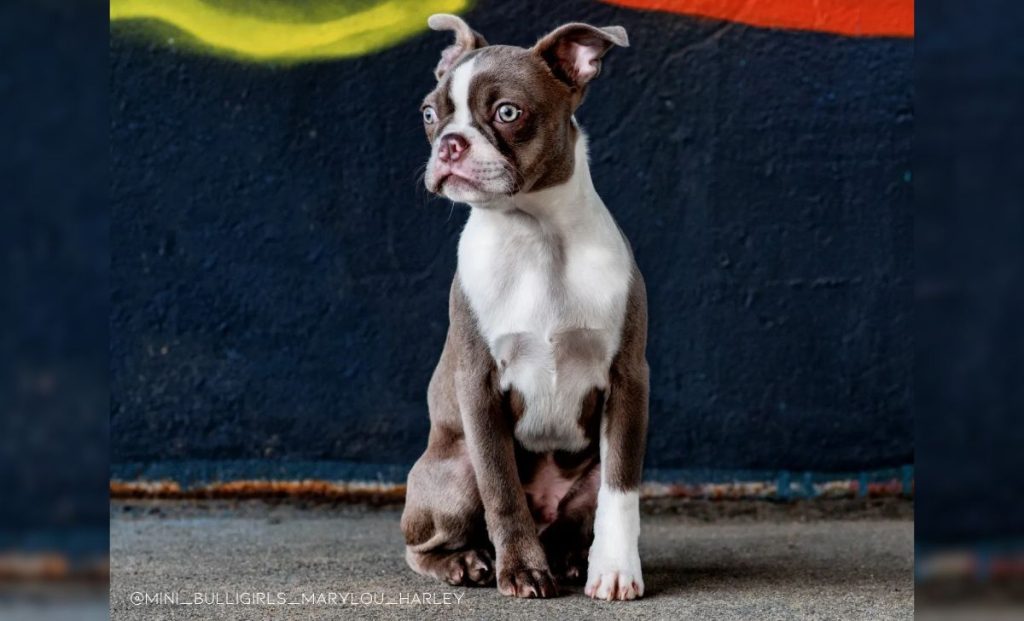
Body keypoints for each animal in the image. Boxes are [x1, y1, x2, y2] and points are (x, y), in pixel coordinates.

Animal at [399, 14, 647, 602]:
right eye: (429, 115)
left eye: (507, 113)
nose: (450, 144)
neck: (535, 235)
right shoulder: (479, 384)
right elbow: (502, 488)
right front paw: (522, 570)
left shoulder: (628, 379)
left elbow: (621, 492)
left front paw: (615, 570)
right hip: (455, 470)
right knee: (419, 543)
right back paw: (466, 562)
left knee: (580, 519)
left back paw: (572, 560)